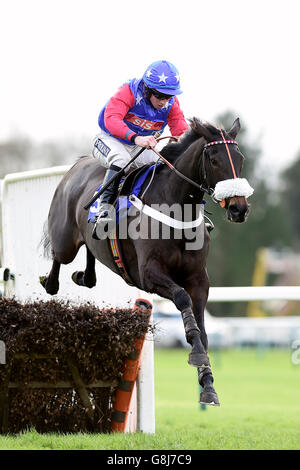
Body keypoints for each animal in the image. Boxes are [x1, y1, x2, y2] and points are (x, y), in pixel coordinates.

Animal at [39, 118, 251, 408]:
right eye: (214, 159)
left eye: (240, 159)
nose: (239, 209)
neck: (177, 212)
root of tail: (77, 165)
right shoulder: (149, 274)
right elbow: (182, 299)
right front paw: (196, 355)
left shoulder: (199, 279)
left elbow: (203, 328)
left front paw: (207, 384)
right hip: (65, 241)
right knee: (58, 259)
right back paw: (50, 282)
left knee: (91, 258)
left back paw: (84, 276)